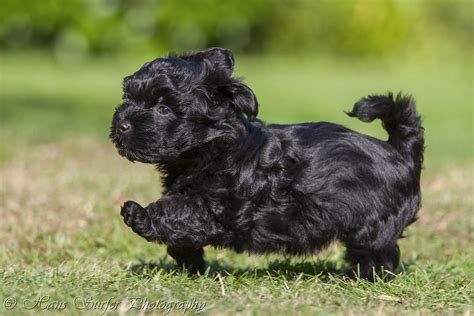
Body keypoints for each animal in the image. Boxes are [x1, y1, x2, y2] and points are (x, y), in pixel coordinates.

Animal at [111, 47, 426, 282]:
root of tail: (400, 151)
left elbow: (179, 211)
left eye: (163, 108)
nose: (121, 124)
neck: (211, 146)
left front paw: (140, 215)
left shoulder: (220, 206)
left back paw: (359, 277)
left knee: (379, 254)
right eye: (128, 97)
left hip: (372, 223)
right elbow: (181, 222)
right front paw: (189, 262)